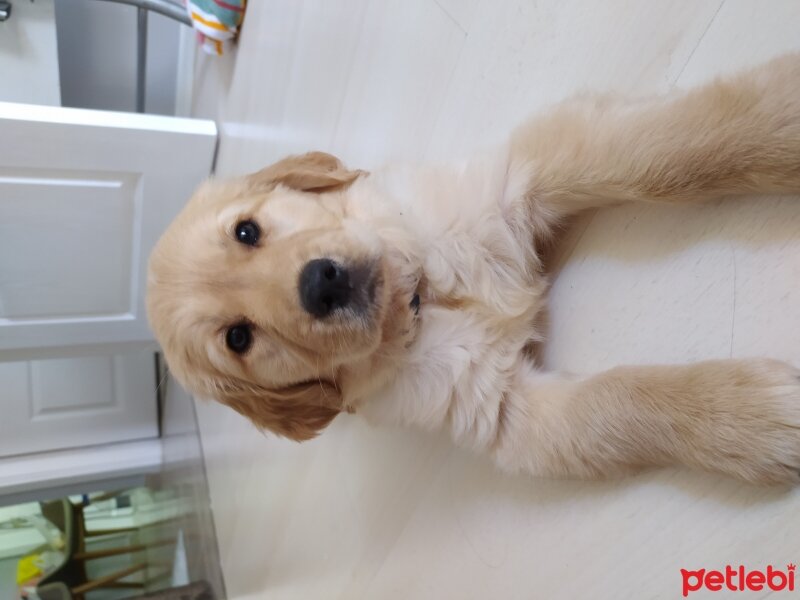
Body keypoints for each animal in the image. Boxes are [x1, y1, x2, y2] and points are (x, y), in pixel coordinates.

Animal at [148, 54, 800, 486]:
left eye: (247, 231)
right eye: (238, 338)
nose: (321, 284)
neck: (421, 295)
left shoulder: (522, 176)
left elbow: (666, 158)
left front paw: (783, 120)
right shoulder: (507, 409)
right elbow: (617, 404)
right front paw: (755, 417)